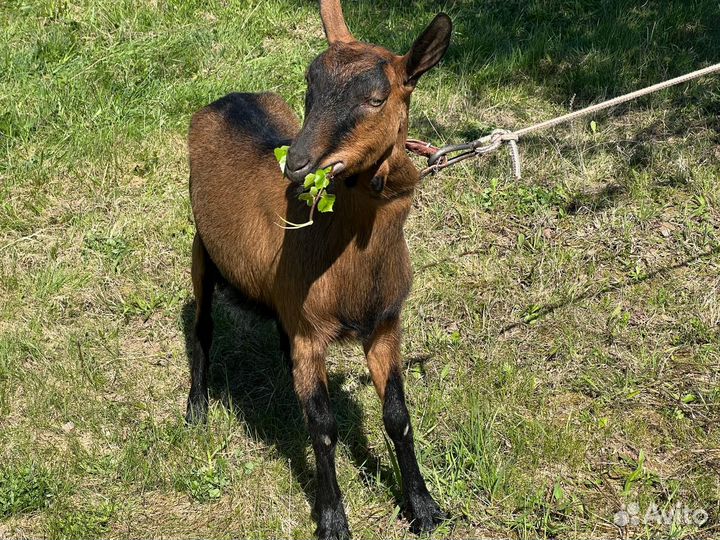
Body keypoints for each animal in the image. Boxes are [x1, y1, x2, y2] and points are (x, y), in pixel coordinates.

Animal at [188, 2, 452, 536]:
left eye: (376, 98)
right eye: (308, 88)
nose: (297, 164)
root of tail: (227, 99)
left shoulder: (385, 324)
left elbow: (398, 417)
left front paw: (424, 508)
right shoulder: (312, 333)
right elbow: (324, 429)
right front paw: (332, 519)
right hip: (200, 247)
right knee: (202, 326)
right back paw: (197, 410)